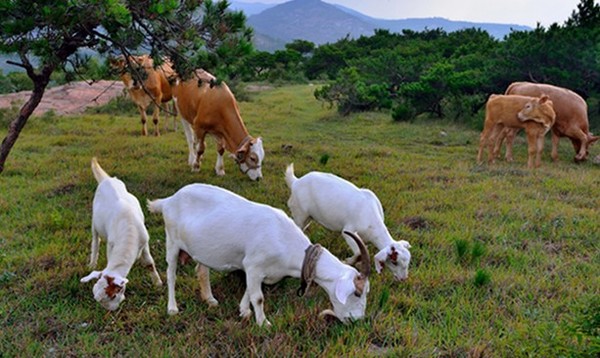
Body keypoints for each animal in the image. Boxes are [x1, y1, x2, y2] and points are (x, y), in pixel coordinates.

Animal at [82, 157, 163, 310]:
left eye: (114, 295)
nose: (111, 310)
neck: (129, 231)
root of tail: (106, 179)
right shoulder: (111, 244)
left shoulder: (144, 241)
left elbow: (149, 263)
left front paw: (158, 283)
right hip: (94, 222)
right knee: (95, 241)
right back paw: (92, 264)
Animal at [146, 183, 370, 326]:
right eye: (357, 293)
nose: (356, 320)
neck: (285, 240)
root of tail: (169, 200)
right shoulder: (254, 264)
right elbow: (259, 297)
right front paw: (263, 323)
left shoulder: (254, 269)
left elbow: (250, 289)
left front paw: (244, 311)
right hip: (172, 241)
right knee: (171, 274)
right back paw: (172, 308)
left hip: (202, 249)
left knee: (202, 270)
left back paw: (210, 300)